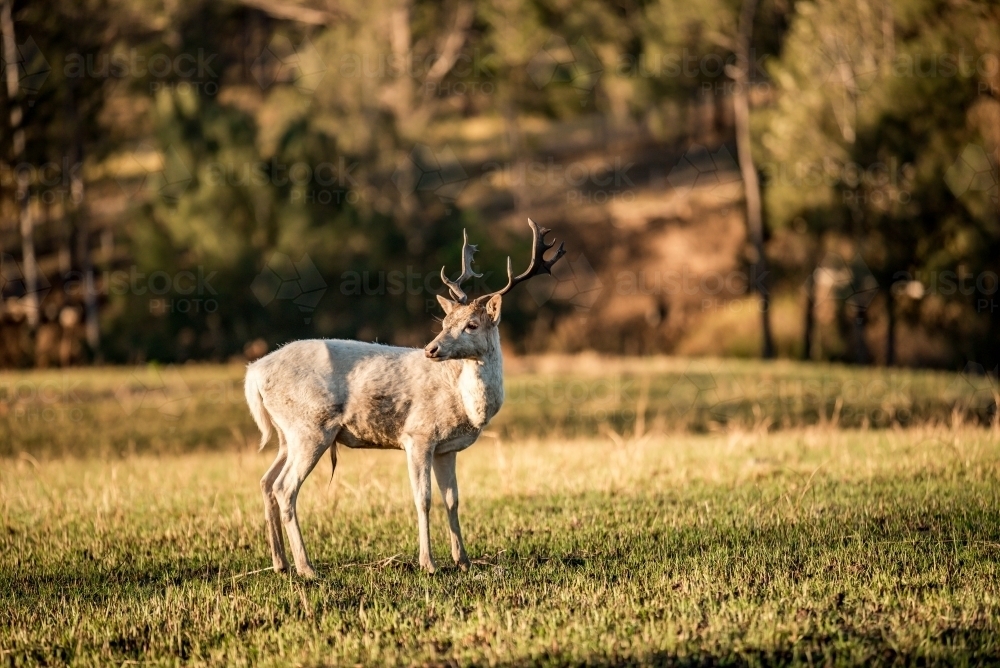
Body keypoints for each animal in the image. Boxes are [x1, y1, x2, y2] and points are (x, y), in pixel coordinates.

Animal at [244, 218, 564, 576]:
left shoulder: (446, 448)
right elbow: (422, 498)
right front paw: (429, 563)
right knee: (285, 488)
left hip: (286, 433)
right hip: (311, 428)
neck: (465, 404)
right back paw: (306, 568)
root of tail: (253, 373)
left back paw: (280, 563)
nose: (431, 349)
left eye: (471, 324)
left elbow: (452, 499)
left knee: (266, 482)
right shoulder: (418, 435)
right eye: (444, 321)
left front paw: (463, 560)